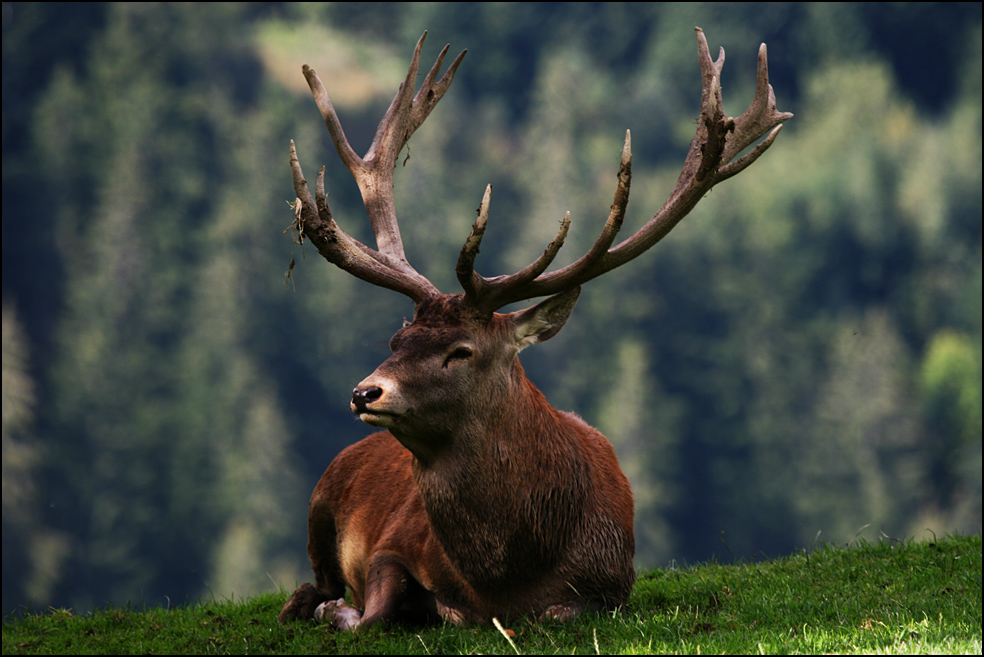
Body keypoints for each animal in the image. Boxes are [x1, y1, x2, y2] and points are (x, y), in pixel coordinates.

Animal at [278, 29, 792, 632]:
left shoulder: (611, 585)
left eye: (461, 351)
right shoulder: (392, 543)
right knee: (313, 579)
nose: (365, 392)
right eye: (396, 341)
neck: (505, 576)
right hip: (319, 502)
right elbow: (377, 611)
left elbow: (556, 613)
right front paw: (346, 610)